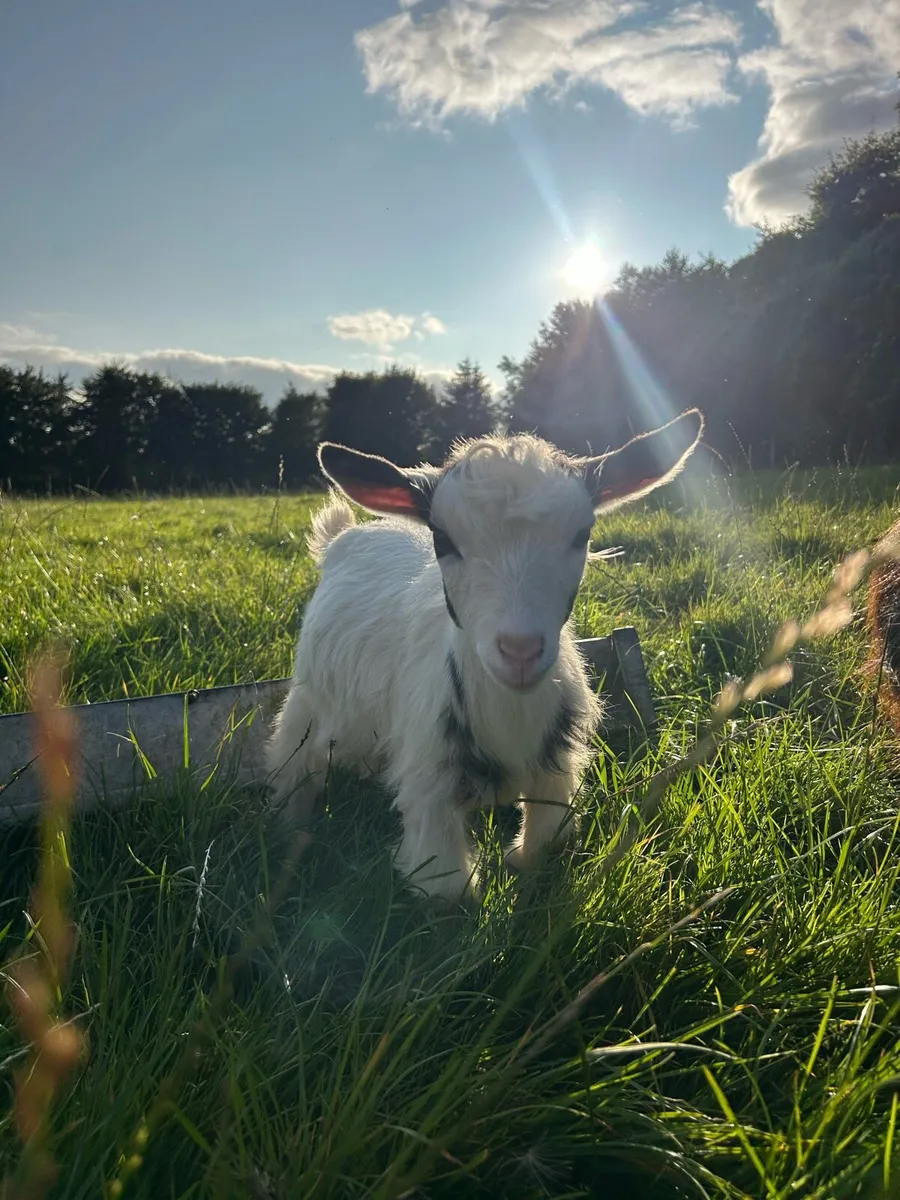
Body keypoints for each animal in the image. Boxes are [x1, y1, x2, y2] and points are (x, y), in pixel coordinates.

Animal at [265, 410, 704, 900]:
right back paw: (290, 824)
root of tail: (348, 532)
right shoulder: (429, 783)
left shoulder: (556, 768)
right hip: (309, 697)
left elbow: (543, 847)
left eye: (582, 534)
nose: (519, 651)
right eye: (442, 538)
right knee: (292, 755)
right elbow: (445, 893)